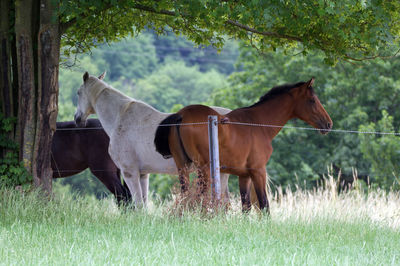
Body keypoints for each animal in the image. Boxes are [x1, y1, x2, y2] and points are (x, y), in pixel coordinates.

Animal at [73, 71, 230, 208]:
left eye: (78, 93)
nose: (77, 119)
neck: (120, 117)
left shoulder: (130, 173)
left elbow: (138, 204)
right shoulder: (143, 174)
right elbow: (144, 203)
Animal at [155, 78, 332, 213]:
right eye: (312, 100)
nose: (328, 124)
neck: (258, 123)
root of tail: (181, 115)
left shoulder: (244, 176)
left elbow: (246, 206)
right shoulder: (258, 171)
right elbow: (264, 204)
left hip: (183, 167)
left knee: (185, 196)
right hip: (203, 170)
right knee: (198, 198)